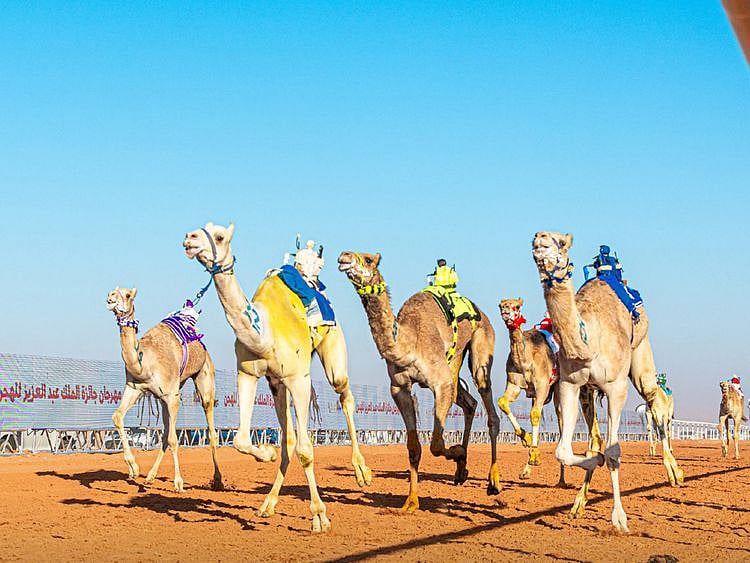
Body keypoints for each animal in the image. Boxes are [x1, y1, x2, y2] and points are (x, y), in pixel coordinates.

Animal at [106, 287, 222, 492]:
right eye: (112, 292)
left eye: (127, 295)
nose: (110, 300)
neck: (144, 363)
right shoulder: (135, 388)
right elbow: (117, 416)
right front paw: (134, 468)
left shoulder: (172, 395)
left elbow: (174, 439)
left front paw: (179, 483)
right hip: (163, 397)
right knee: (166, 432)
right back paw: (150, 477)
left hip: (204, 376)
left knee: (210, 427)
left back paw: (217, 480)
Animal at [183, 223, 371, 533]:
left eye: (220, 236)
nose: (190, 239)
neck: (264, 334)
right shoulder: (248, 373)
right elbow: (241, 440)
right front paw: (267, 452)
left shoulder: (299, 378)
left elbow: (307, 449)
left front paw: (319, 516)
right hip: (277, 385)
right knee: (289, 439)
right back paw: (267, 504)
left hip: (332, 355)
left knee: (346, 396)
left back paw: (362, 472)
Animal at [338, 251, 501, 512]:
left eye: (369, 259)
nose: (344, 256)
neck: (408, 343)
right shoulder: (400, 387)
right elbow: (414, 447)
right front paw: (411, 501)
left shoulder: (440, 383)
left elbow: (436, 443)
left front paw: (457, 450)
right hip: (454, 366)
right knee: (469, 403)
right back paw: (461, 472)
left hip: (481, 348)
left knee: (489, 407)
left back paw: (493, 481)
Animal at [497, 298, 603, 484]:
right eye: (501, 305)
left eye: (517, 306)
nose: (505, 311)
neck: (526, 360)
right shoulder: (514, 384)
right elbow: (503, 402)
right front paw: (526, 440)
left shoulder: (543, 385)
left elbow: (534, 414)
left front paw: (534, 455)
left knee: (566, 421)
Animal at [531, 231, 683, 532]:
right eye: (535, 241)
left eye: (560, 242)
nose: (540, 240)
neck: (589, 340)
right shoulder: (569, 384)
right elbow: (566, 450)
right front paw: (593, 464)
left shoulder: (616, 387)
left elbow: (613, 452)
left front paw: (620, 519)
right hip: (587, 393)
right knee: (595, 437)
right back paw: (579, 502)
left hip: (641, 353)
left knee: (656, 399)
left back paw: (675, 471)